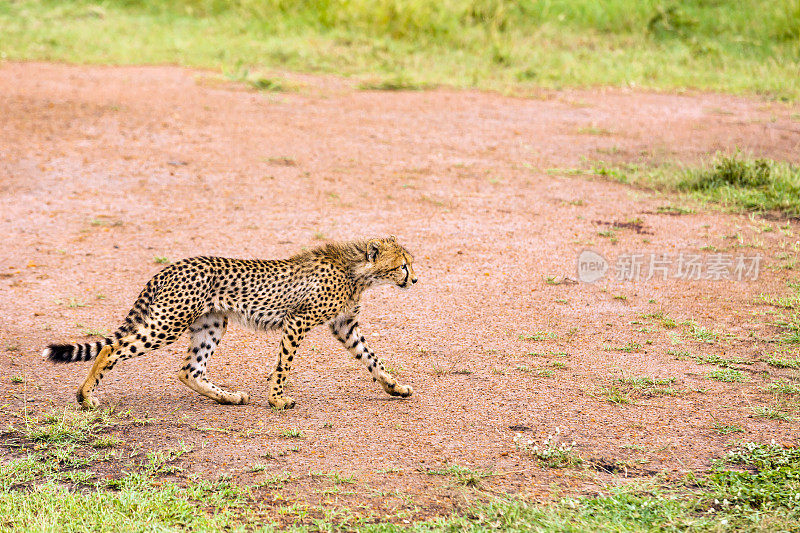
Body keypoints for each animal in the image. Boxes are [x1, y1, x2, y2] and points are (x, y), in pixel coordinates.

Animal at [43, 235, 418, 410]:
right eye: (402, 265)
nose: (414, 280)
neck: (356, 271)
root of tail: (172, 265)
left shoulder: (344, 327)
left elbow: (372, 359)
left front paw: (394, 387)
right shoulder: (297, 321)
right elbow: (284, 365)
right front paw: (277, 399)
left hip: (210, 323)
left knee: (189, 370)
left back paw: (228, 397)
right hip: (169, 323)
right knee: (111, 350)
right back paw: (85, 397)